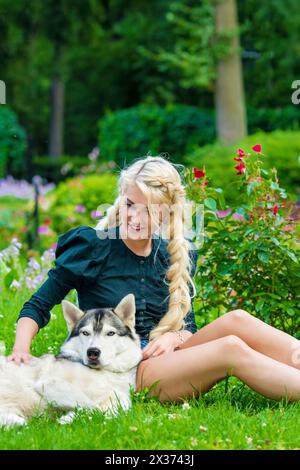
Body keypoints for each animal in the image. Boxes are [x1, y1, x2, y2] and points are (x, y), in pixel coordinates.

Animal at [0, 294, 142, 426]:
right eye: (85, 333)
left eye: (110, 333)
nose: (93, 352)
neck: (105, 373)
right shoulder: (48, 383)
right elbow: (92, 405)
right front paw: (68, 418)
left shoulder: (120, 399)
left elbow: (113, 409)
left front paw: (70, 417)